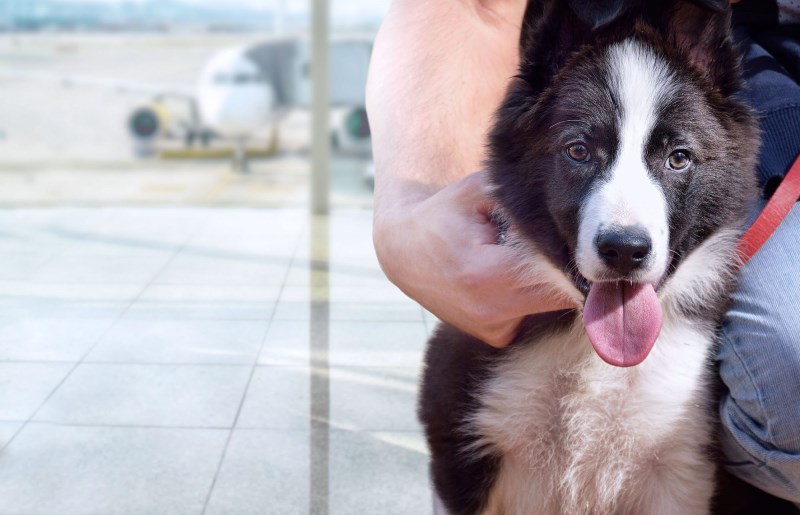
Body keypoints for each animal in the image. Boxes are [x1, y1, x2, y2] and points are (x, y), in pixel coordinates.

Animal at [412, 1, 768, 515]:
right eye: (578, 150)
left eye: (679, 157)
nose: (625, 249)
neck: (593, 352)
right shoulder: (462, 449)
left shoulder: (682, 467)